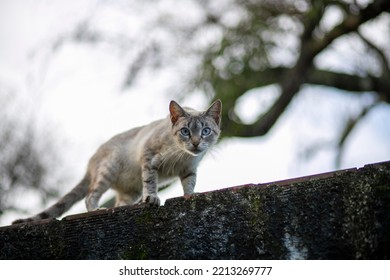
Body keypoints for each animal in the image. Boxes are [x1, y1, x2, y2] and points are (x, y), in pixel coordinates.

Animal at [12, 99, 222, 224]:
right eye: (185, 131)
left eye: (205, 131)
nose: (195, 143)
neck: (181, 155)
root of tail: (91, 160)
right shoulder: (148, 156)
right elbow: (150, 182)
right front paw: (152, 198)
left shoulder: (189, 168)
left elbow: (189, 184)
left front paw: (191, 196)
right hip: (108, 170)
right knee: (90, 195)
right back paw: (97, 209)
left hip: (130, 190)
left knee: (119, 204)